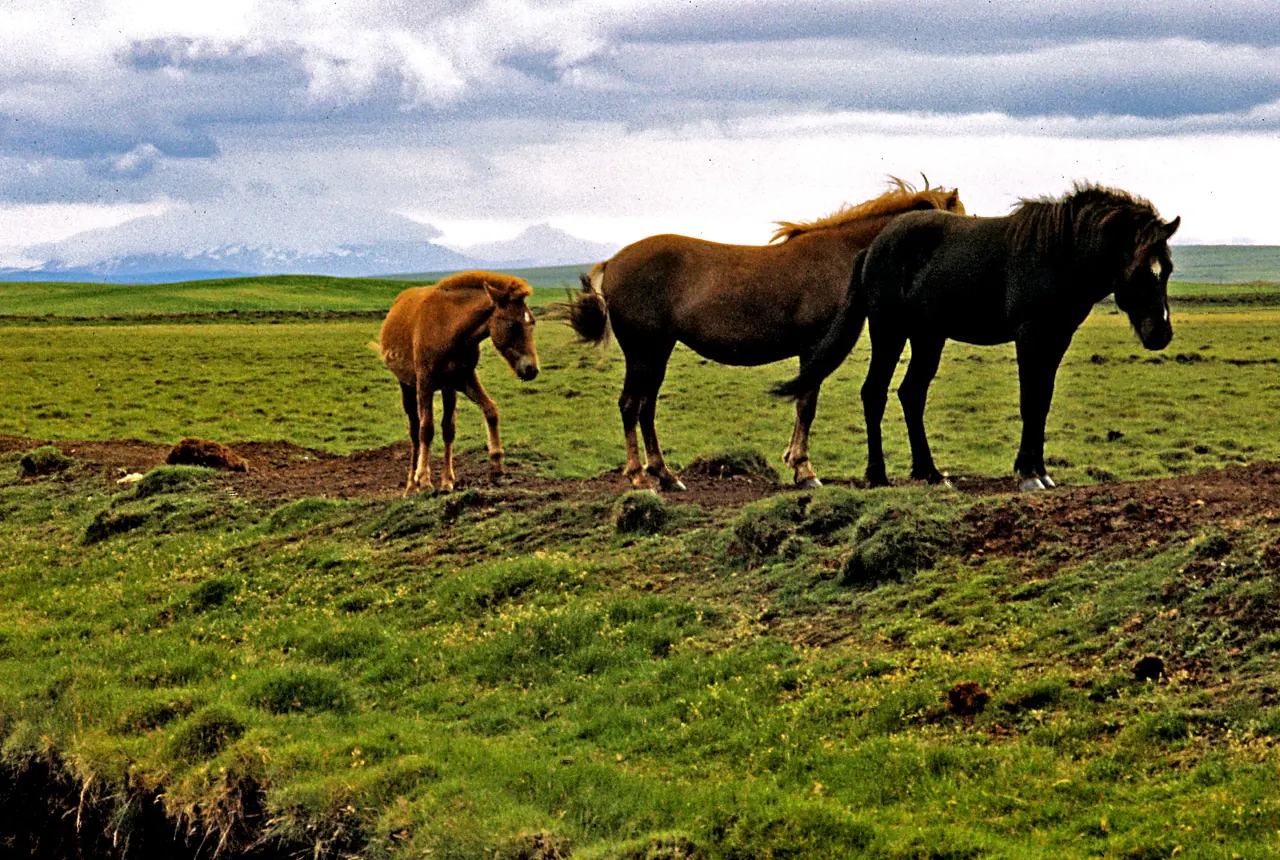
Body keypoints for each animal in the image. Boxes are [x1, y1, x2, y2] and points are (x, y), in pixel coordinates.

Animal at [374, 271, 539, 494]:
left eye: (532, 323)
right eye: (513, 324)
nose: (531, 369)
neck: (449, 326)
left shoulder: (462, 379)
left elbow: (488, 411)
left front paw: (494, 463)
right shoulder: (425, 383)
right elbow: (426, 429)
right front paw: (423, 479)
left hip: (447, 389)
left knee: (446, 428)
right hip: (407, 386)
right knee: (415, 430)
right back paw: (411, 486)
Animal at [563, 179, 965, 491]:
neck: (841, 256)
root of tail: (613, 263)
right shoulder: (813, 346)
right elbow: (806, 404)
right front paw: (804, 470)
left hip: (657, 352)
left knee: (646, 409)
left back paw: (665, 475)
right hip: (643, 352)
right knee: (631, 406)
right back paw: (638, 476)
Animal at [771, 183, 1180, 491]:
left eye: (1168, 269)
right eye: (1138, 271)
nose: (1160, 333)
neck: (1058, 252)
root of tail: (872, 248)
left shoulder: (1056, 338)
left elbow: (1043, 402)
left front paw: (1041, 472)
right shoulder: (1030, 336)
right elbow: (1030, 401)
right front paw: (1028, 475)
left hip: (928, 336)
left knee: (911, 394)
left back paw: (930, 473)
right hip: (890, 330)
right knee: (875, 393)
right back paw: (878, 476)